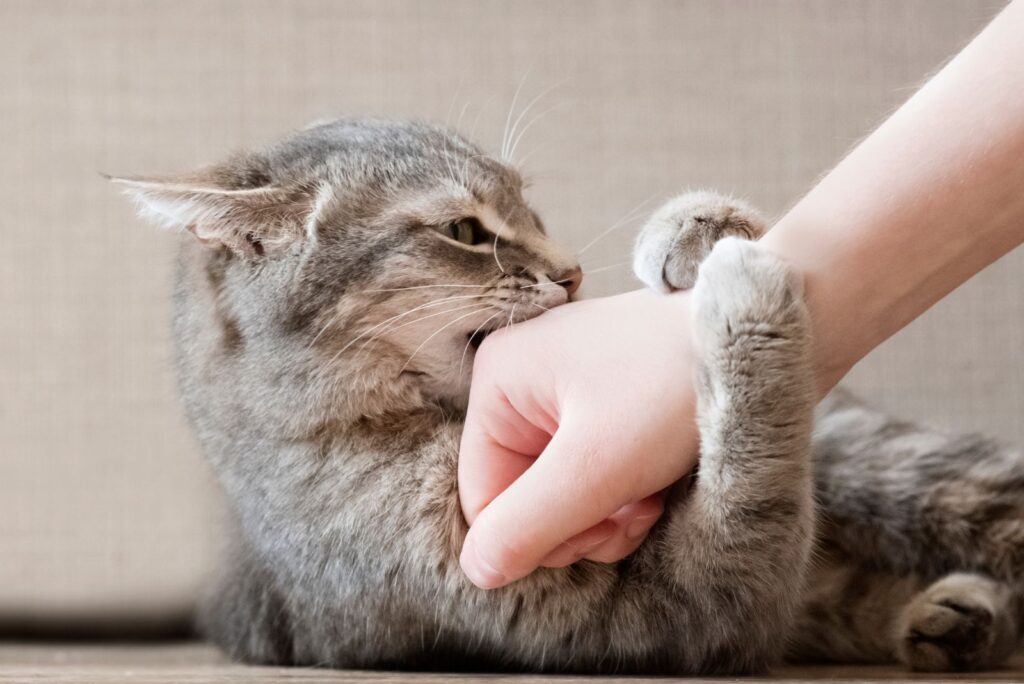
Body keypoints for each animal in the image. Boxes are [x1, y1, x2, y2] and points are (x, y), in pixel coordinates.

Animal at [114, 118, 1024, 671]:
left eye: (532, 207)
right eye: (466, 231)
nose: (573, 272)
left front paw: (695, 231)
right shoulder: (676, 618)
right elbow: (754, 492)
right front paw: (745, 309)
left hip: (885, 463)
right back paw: (953, 620)